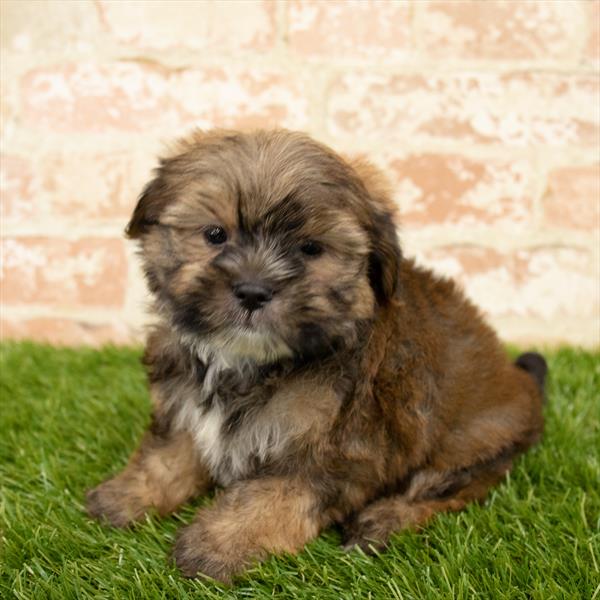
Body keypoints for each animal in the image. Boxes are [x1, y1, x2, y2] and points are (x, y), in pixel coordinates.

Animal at [85, 129, 548, 584]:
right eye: (215, 234)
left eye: (310, 249)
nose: (253, 291)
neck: (248, 363)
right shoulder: (182, 406)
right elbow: (168, 454)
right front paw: (125, 496)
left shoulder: (327, 453)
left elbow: (266, 499)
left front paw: (215, 546)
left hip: (474, 444)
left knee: (440, 492)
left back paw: (380, 522)